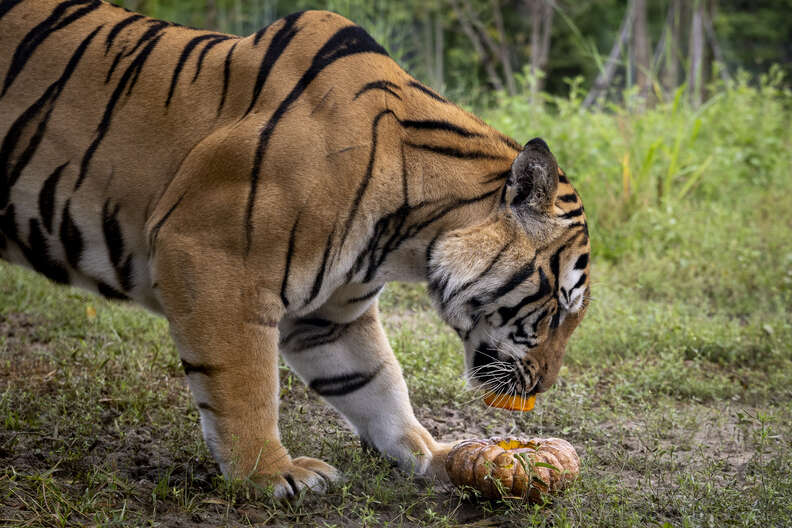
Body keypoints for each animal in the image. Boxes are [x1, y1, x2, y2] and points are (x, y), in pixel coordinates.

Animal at [0, 0, 588, 498]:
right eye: (558, 309)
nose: (546, 386)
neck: (407, 235)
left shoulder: (332, 314)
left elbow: (377, 383)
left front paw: (434, 455)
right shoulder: (211, 257)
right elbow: (244, 383)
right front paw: (271, 474)